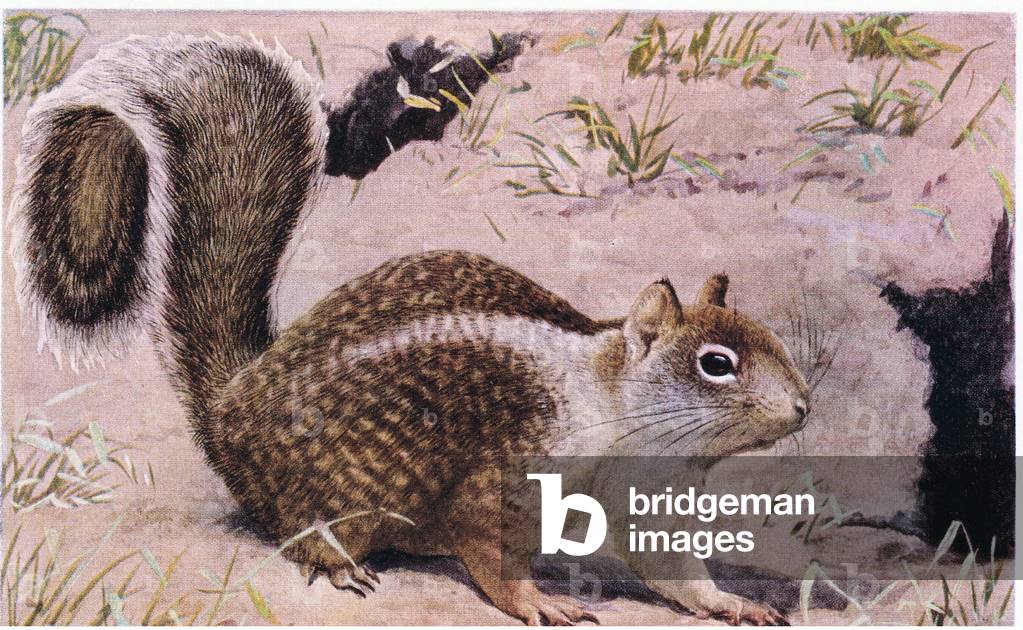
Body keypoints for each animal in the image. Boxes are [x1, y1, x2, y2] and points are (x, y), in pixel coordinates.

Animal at [9, 32, 809, 626]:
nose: (804, 407)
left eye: (766, 338)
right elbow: (489, 544)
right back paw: (340, 566)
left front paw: (730, 602)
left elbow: (669, 565)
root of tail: (228, 409)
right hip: (341, 491)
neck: (611, 401)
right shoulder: (507, 467)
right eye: (715, 363)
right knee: (301, 532)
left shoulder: (637, 490)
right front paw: (537, 601)